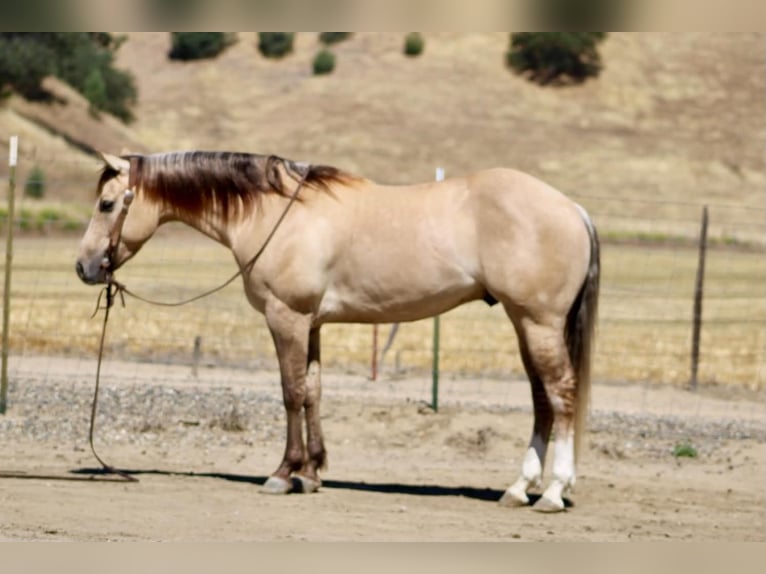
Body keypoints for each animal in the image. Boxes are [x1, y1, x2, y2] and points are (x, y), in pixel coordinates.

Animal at [76, 150, 599, 512]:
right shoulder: (312, 324)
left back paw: (553, 491)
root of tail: (573, 208)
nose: (84, 266)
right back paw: (519, 488)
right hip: (523, 323)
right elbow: (312, 392)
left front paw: (283, 473)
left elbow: (290, 392)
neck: (275, 213)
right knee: (541, 399)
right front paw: (311, 474)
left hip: (538, 323)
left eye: (107, 203)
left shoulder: (285, 318)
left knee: (561, 394)